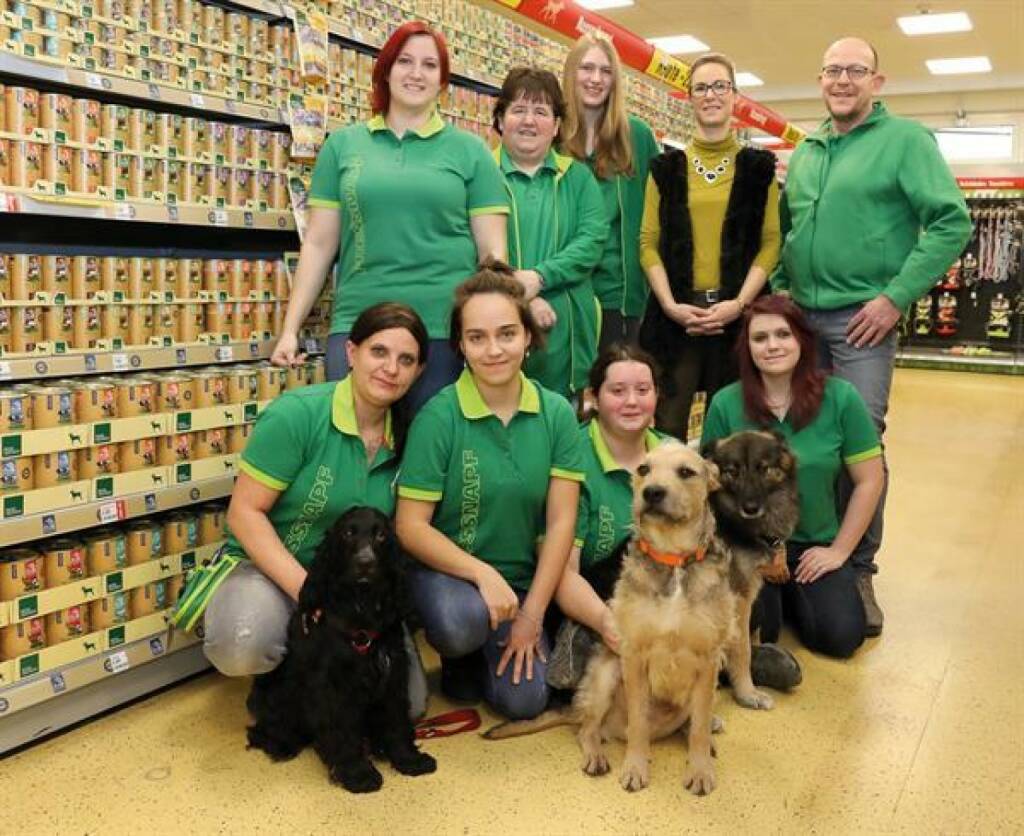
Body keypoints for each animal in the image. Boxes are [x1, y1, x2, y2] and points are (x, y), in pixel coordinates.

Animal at [251, 506, 440, 795]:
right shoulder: (334, 687)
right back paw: (281, 744)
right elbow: (343, 732)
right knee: (265, 727)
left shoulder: (392, 675)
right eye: (348, 533)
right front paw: (358, 774)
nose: (365, 562)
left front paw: (408, 759)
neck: (361, 609)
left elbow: (396, 722)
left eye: (381, 535)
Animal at [483, 440, 733, 795]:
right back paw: (596, 754)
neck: (672, 560)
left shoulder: (709, 659)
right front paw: (635, 768)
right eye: (644, 469)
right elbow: (639, 723)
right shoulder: (633, 657)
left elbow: (697, 726)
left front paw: (700, 769)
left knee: (693, 721)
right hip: (607, 673)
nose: (652, 492)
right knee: (588, 729)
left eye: (686, 472)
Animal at [704, 430, 798, 713]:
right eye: (732, 471)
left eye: (763, 468)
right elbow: (742, 648)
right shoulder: (740, 599)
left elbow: (751, 638)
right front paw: (747, 693)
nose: (750, 508)